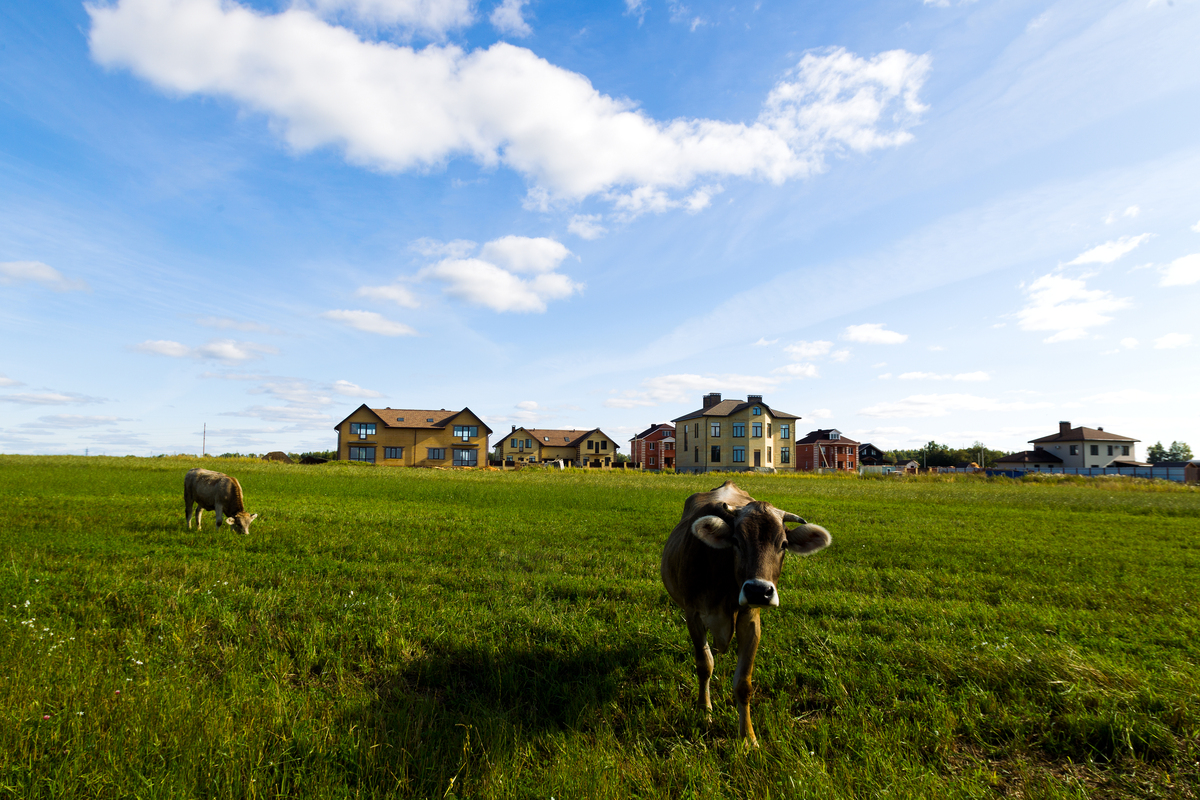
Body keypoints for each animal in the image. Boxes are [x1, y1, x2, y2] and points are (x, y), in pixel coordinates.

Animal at [662, 479, 830, 748]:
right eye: (736, 541)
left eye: (783, 544)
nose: (759, 591)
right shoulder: (693, 614)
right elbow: (704, 664)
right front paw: (704, 710)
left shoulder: (750, 620)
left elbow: (743, 684)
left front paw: (748, 737)